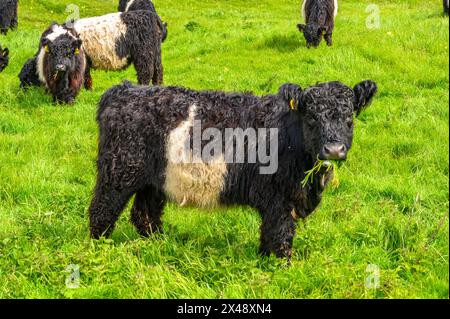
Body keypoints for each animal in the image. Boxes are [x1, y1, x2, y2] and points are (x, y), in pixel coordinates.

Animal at [88, 78, 376, 260]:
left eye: (349, 119)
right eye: (312, 117)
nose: (334, 149)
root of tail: (125, 90)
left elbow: (268, 234)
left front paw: (263, 261)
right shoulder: (279, 200)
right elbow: (280, 236)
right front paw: (280, 268)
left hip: (153, 181)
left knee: (145, 216)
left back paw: (159, 246)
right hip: (118, 173)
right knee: (101, 212)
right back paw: (99, 250)